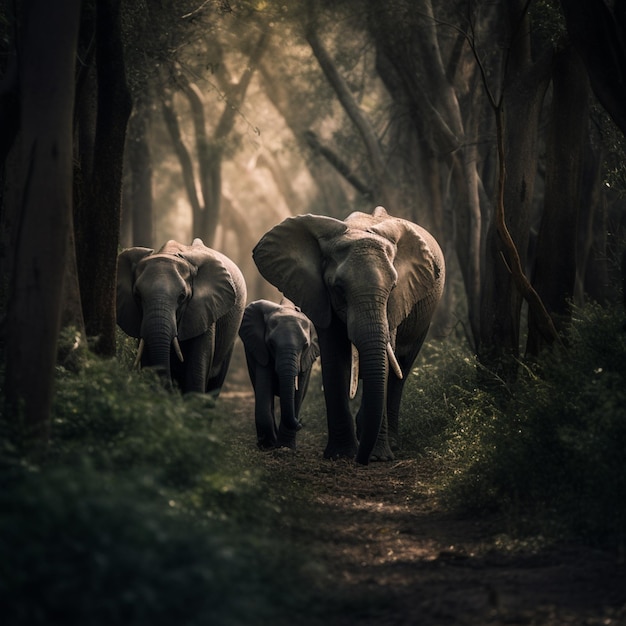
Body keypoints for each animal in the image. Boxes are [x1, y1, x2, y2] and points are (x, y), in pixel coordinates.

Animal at [238, 298, 320, 448]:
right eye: (271, 344)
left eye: (305, 346)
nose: (300, 423)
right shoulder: (261, 349)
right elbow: (264, 392)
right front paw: (269, 446)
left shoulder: (306, 359)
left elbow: (298, 395)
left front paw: (286, 446)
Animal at [250, 206, 444, 464]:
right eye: (338, 288)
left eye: (393, 287)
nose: (362, 460)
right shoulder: (320, 296)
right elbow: (334, 358)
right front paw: (341, 455)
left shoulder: (397, 302)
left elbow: (387, 360)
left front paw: (378, 457)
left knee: (401, 370)